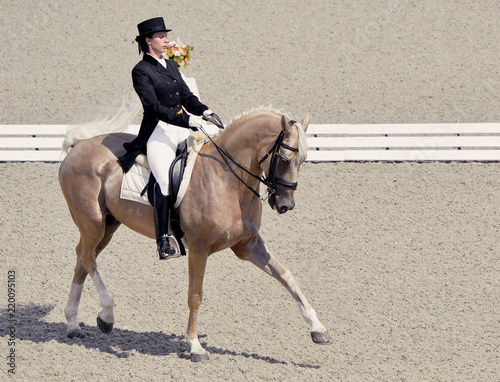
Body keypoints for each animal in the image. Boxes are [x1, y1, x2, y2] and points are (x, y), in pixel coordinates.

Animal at [58, 106, 332, 362]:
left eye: (304, 160)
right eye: (284, 160)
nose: (286, 205)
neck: (226, 179)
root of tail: (78, 146)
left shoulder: (248, 245)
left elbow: (286, 275)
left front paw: (318, 329)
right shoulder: (199, 249)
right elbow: (195, 296)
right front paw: (195, 346)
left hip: (108, 225)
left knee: (83, 260)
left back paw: (73, 325)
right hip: (93, 223)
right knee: (86, 256)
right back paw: (107, 315)